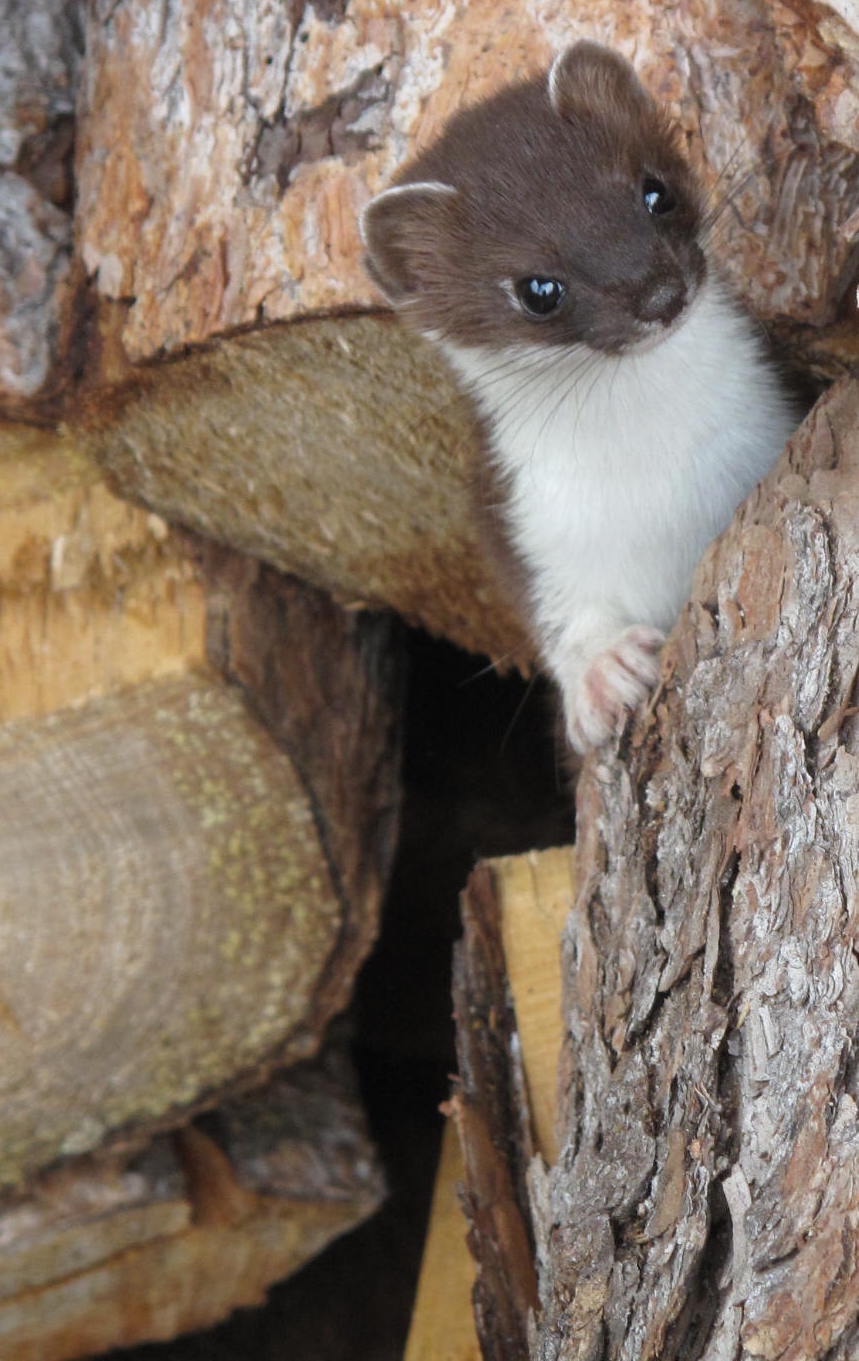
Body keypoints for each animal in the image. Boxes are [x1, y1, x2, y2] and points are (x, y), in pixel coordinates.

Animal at [362, 42, 800, 751]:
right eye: (538, 289)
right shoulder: (518, 515)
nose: (659, 293)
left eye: (655, 192)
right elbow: (551, 605)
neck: (656, 469)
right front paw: (605, 672)